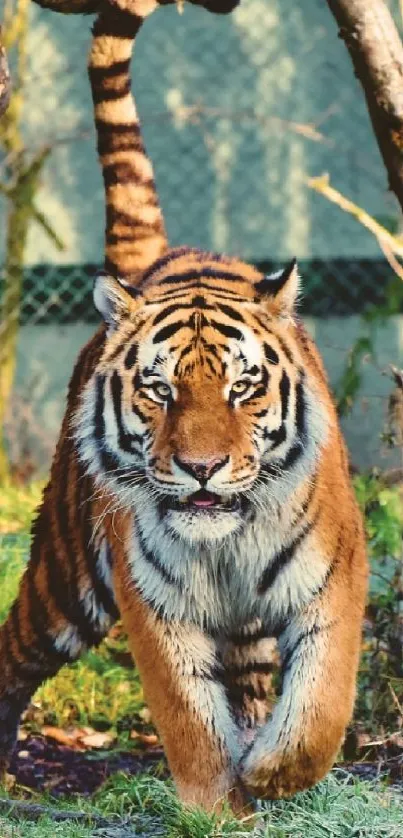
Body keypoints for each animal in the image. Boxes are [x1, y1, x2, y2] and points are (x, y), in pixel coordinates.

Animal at [0, 0, 370, 816]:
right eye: (159, 389)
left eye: (241, 387)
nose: (201, 469)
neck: (225, 545)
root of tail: (159, 259)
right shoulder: (155, 606)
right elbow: (189, 721)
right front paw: (216, 809)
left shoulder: (333, 581)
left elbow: (320, 707)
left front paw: (271, 774)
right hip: (66, 578)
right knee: (14, 651)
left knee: (256, 685)